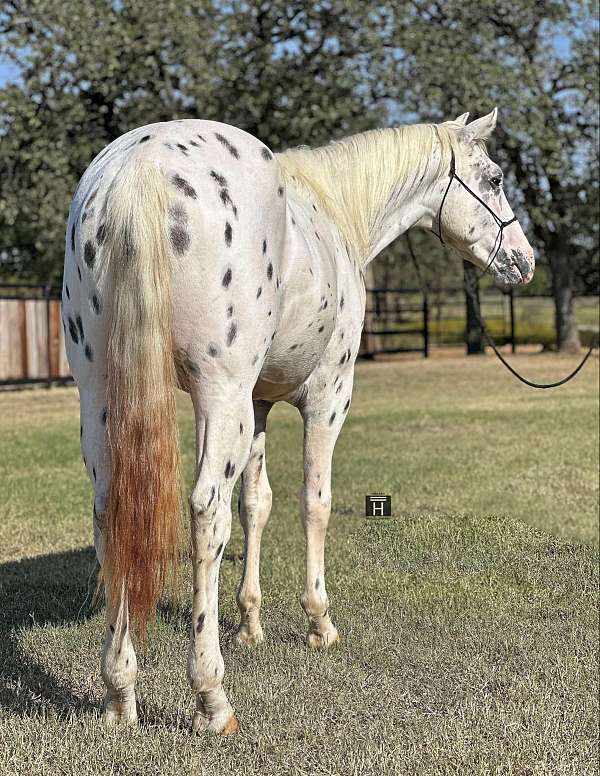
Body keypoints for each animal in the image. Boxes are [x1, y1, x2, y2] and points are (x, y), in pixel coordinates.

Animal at [62, 107, 536, 732]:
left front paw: (250, 624)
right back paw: (212, 698)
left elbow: (256, 505)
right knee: (206, 511)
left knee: (111, 511)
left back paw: (120, 693)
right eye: (496, 179)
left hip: (104, 396)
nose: (525, 261)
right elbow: (314, 502)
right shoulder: (326, 397)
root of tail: (141, 168)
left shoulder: (257, 405)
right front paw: (319, 624)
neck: (334, 212)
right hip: (220, 393)